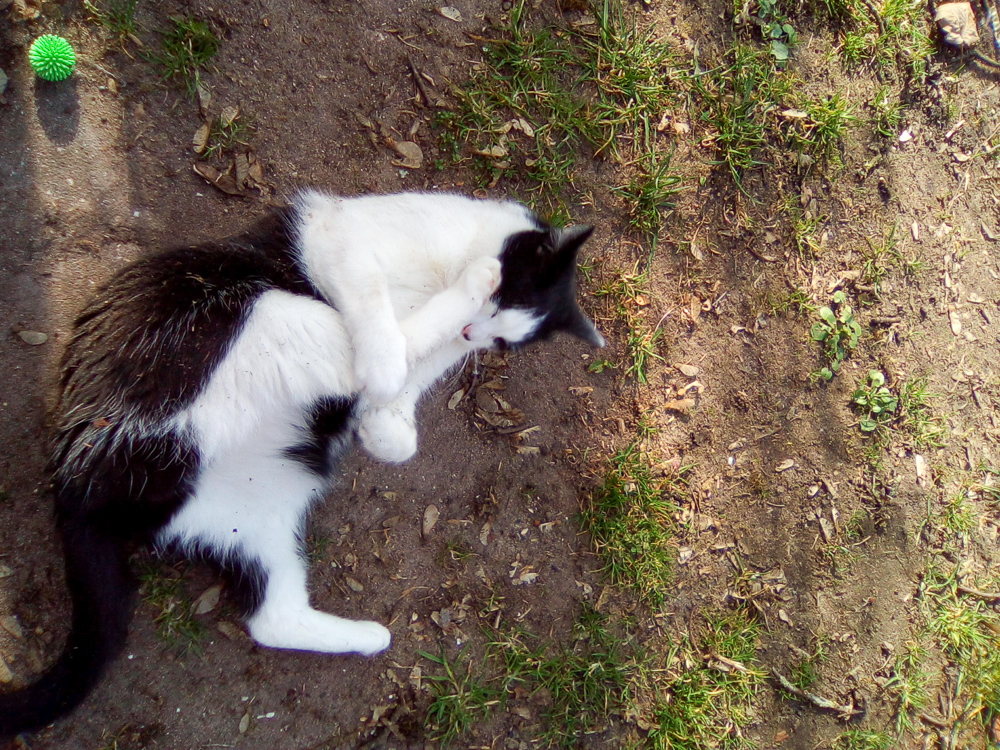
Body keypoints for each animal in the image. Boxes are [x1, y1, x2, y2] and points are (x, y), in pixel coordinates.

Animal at [0, 191, 600, 736]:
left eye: (500, 338)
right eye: (497, 306)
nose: (473, 331)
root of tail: (77, 480)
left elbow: (395, 409)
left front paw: (387, 430)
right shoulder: (337, 233)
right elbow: (383, 338)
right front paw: (468, 288)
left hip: (252, 512)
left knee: (272, 618)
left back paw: (367, 636)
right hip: (270, 311)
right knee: (368, 352)